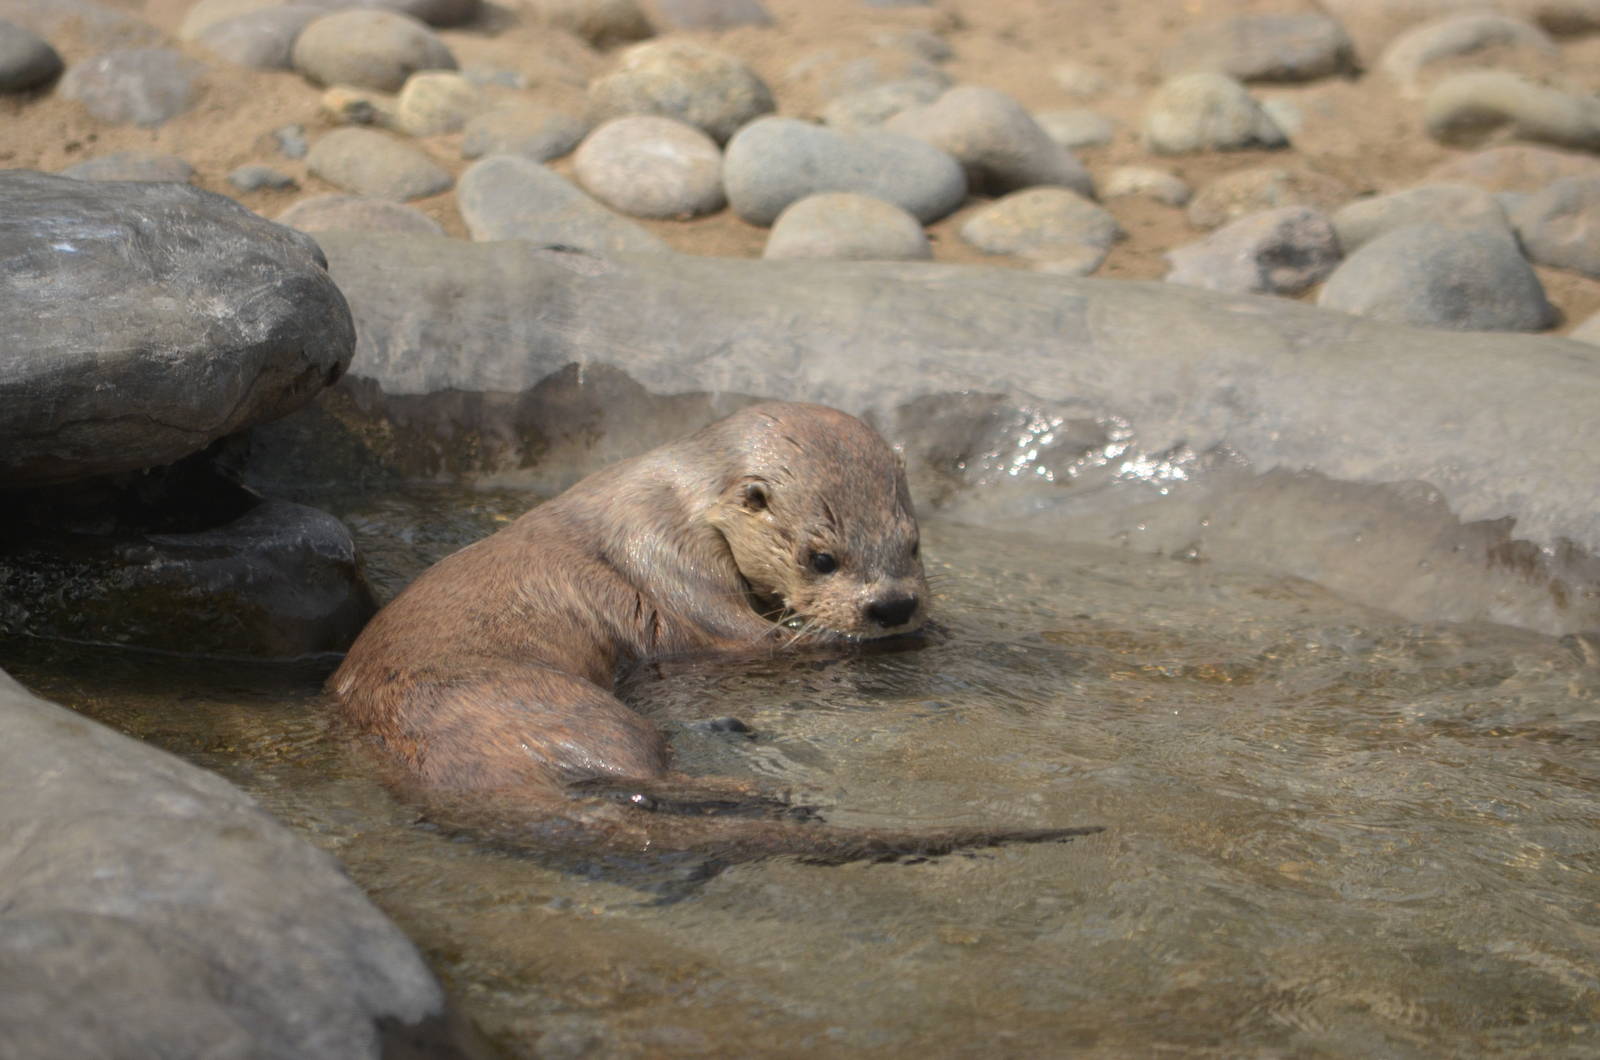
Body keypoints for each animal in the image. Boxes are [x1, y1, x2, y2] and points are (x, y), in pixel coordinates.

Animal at [331, 402, 1095, 864]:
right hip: (556, 703)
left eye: (913, 543)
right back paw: (769, 795)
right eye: (821, 557)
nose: (892, 605)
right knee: (638, 771)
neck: (685, 499)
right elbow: (754, 642)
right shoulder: (671, 561)